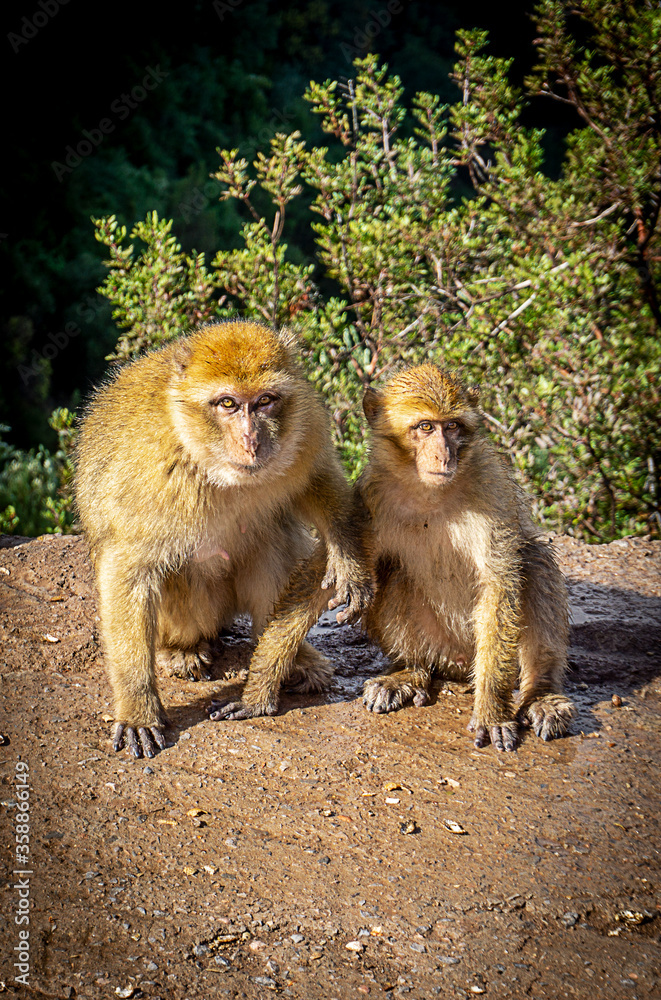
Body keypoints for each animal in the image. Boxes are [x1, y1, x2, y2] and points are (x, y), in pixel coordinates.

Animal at [74, 320, 372, 758]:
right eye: (228, 404)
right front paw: (137, 707)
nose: (252, 440)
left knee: (274, 538)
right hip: (200, 610)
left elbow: (318, 481)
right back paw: (181, 649)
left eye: (264, 401)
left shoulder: (306, 424)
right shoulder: (148, 470)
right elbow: (129, 568)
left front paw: (348, 559)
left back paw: (292, 659)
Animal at [358, 364, 575, 751]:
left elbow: (499, 582)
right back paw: (411, 670)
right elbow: (366, 568)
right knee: (392, 572)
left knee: (535, 559)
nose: (445, 455)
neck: (429, 493)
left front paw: (490, 710)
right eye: (425, 427)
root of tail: (458, 665)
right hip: (440, 646)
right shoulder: (370, 494)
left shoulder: (491, 486)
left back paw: (541, 692)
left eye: (453, 427)